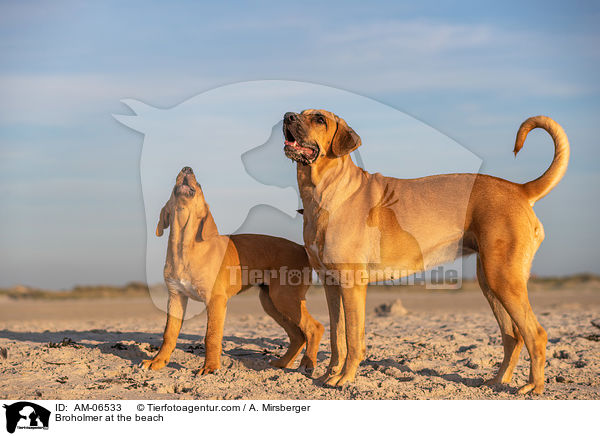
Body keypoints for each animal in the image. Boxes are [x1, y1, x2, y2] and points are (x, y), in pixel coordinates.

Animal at [141, 167, 324, 374]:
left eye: (200, 185)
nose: (187, 168)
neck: (184, 246)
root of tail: (302, 248)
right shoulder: (175, 297)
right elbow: (169, 334)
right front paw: (158, 361)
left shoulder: (216, 300)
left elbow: (211, 336)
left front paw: (210, 368)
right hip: (271, 301)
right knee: (297, 335)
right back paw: (282, 363)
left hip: (285, 297)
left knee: (315, 328)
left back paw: (307, 364)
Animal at [284, 110, 568, 396]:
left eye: (319, 119)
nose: (287, 116)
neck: (323, 192)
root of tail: (519, 188)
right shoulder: (331, 284)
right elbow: (336, 337)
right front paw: (330, 375)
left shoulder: (352, 284)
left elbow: (353, 338)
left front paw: (345, 378)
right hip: (490, 283)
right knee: (513, 337)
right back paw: (498, 382)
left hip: (504, 279)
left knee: (536, 334)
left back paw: (533, 386)